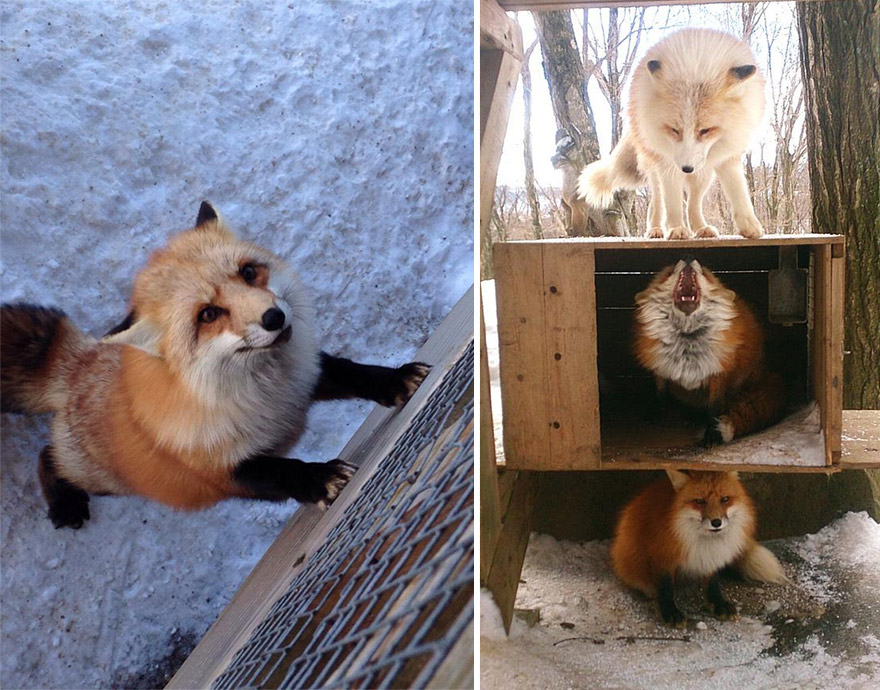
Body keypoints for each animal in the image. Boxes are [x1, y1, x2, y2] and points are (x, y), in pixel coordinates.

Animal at [1, 201, 429, 529]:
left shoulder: (308, 378)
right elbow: (286, 472)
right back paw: (64, 502)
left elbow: (354, 372)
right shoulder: (220, 473)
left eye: (249, 272)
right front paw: (322, 477)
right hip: (108, 480)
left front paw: (396, 380)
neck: (269, 394)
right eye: (208, 314)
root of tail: (81, 359)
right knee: (47, 455)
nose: (274, 317)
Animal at [578, 28, 766, 240]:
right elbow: (673, 204)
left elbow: (738, 192)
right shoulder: (667, 163)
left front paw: (749, 225)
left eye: (705, 130)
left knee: (693, 203)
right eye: (674, 130)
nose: (686, 168)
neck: (696, 58)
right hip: (656, 171)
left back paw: (701, 228)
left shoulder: (729, 154)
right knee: (657, 204)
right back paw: (656, 229)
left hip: (703, 175)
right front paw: (676, 228)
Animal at [611, 469, 787, 626]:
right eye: (700, 501)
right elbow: (665, 589)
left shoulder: (712, 558)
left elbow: (712, 584)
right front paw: (670, 612)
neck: (705, 543)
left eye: (725, 499)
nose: (716, 522)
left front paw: (718, 604)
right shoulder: (661, 556)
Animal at [633, 257, 786, 446]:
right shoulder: (660, 368)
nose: (688, 255)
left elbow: (714, 408)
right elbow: (660, 391)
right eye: (669, 272)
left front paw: (711, 433)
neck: (688, 348)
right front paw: (656, 411)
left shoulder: (718, 373)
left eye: (705, 272)